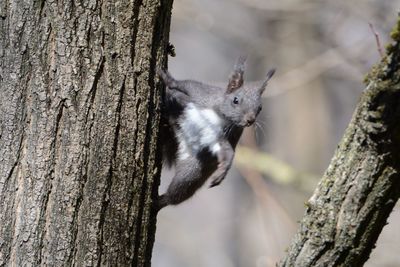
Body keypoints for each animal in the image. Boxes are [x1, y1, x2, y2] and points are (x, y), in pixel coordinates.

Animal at [156, 57, 276, 213]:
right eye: (235, 100)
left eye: (260, 108)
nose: (250, 120)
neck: (221, 117)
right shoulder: (201, 93)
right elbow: (184, 84)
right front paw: (165, 77)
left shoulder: (222, 137)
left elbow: (228, 152)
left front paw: (223, 170)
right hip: (178, 107)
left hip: (193, 171)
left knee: (177, 193)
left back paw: (158, 202)